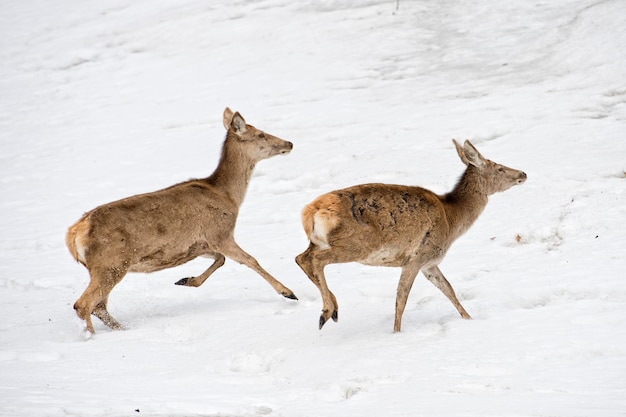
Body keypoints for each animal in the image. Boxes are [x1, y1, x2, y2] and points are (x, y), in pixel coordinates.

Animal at [67, 108, 296, 334]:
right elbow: (250, 259)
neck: (229, 197)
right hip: (111, 263)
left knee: (99, 306)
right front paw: (288, 292)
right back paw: (92, 336)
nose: (289, 143)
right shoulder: (220, 232)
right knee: (83, 304)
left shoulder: (199, 244)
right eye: (260, 134)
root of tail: (75, 233)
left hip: (105, 267)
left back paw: (122, 329)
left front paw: (186, 280)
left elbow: (220, 259)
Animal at [294, 139, 524, 332]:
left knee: (301, 258)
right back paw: (326, 312)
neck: (451, 220)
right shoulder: (417, 256)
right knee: (317, 260)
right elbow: (401, 299)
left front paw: (469, 318)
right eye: (499, 167)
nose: (523, 174)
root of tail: (311, 211)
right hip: (358, 244)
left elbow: (448, 289)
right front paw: (396, 333)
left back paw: (333, 308)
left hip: (319, 242)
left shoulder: (429, 263)